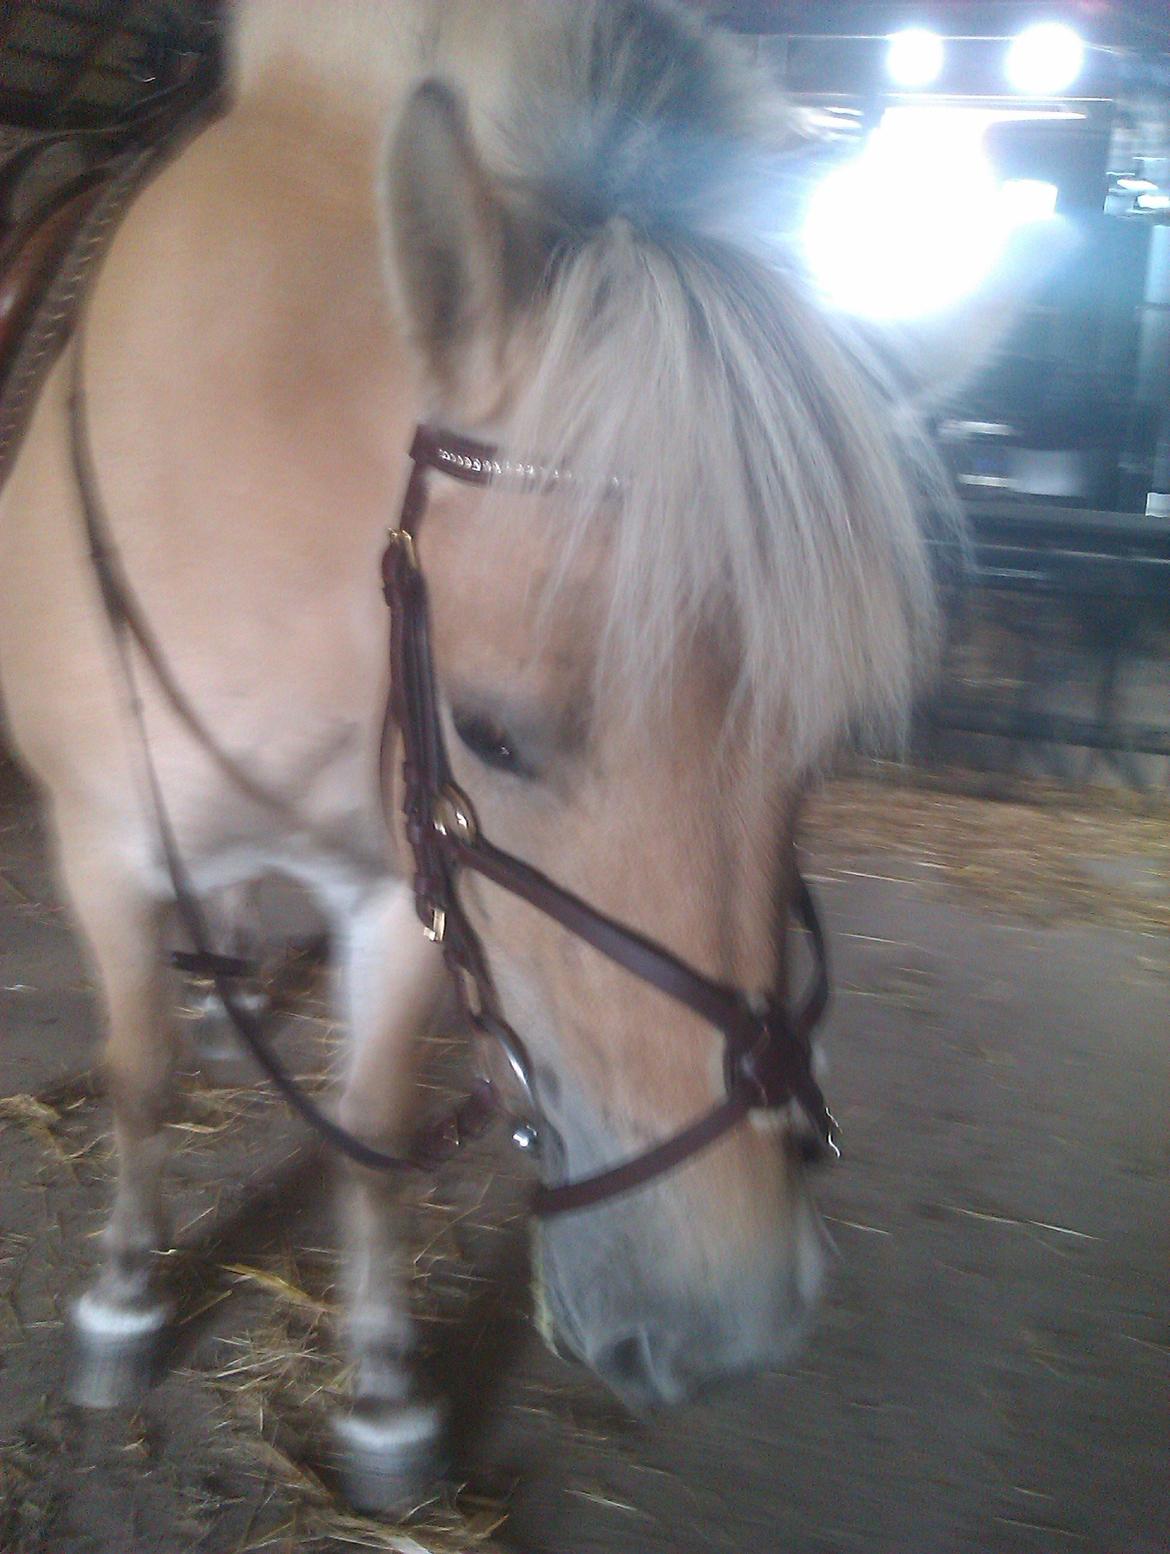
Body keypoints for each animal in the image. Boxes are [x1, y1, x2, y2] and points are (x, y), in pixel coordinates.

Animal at [0, 0, 940, 1505]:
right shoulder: (102, 848)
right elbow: (139, 1082)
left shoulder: (403, 888)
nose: (727, 1326)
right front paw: (121, 1301)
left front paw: (385, 1396)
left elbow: (376, 1130)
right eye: (491, 734)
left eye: (814, 754)